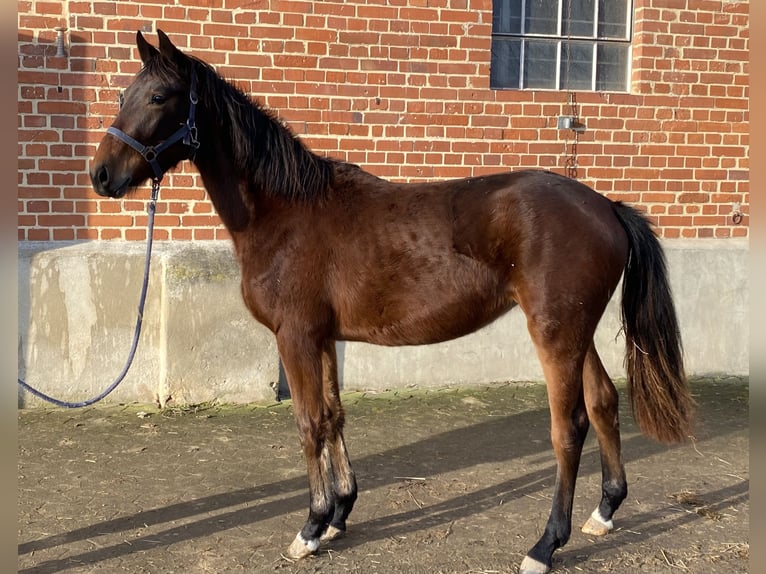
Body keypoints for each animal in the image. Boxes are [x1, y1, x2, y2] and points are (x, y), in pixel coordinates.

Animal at [90, 30, 693, 574]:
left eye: (159, 97)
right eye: (122, 93)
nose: (102, 175)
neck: (284, 211)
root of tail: (605, 206)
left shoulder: (295, 337)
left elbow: (308, 422)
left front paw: (310, 527)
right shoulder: (322, 338)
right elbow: (333, 415)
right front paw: (339, 514)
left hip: (555, 333)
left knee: (568, 428)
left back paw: (545, 545)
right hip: (576, 332)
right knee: (604, 402)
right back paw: (604, 512)